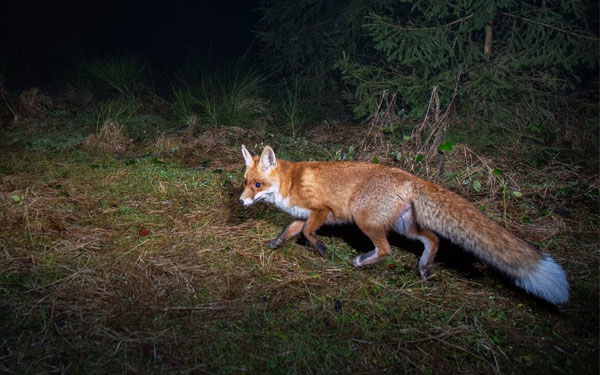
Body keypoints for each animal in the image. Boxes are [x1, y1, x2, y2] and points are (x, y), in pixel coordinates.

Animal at [238, 145, 568, 306]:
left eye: (257, 185)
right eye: (244, 182)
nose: (240, 202)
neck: (289, 183)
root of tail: (411, 177)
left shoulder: (322, 210)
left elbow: (307, 233)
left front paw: (319, 247)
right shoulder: (302, 215)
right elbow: (289, 231)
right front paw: (275, 244)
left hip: (365, 221)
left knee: (386, 250)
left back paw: (363, 261)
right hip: (405, 226)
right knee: (433, 239)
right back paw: (424, 267)